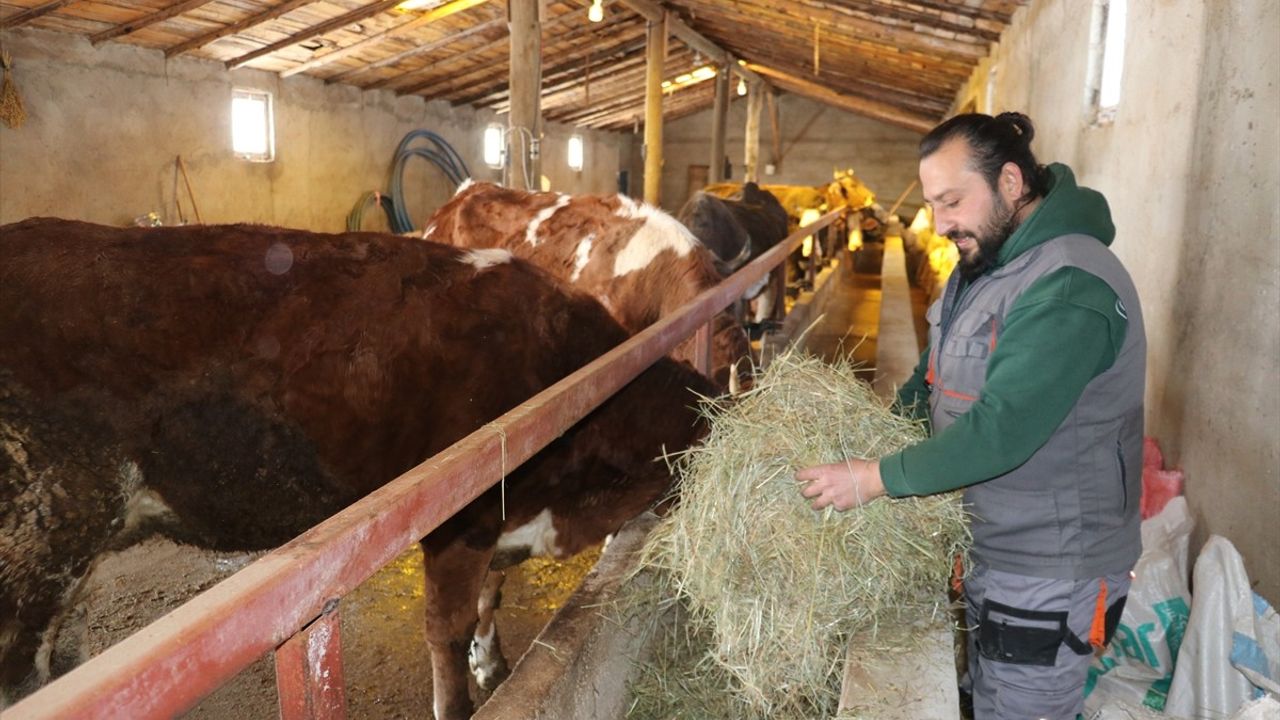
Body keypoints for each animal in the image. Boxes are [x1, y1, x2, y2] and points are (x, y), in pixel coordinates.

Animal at [0, 219, 716, 717]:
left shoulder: (504, 518)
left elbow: (492, 596)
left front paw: (495, 664)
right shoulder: (460, 518)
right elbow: (448, 631)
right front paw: (463, 696)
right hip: (39, 545)